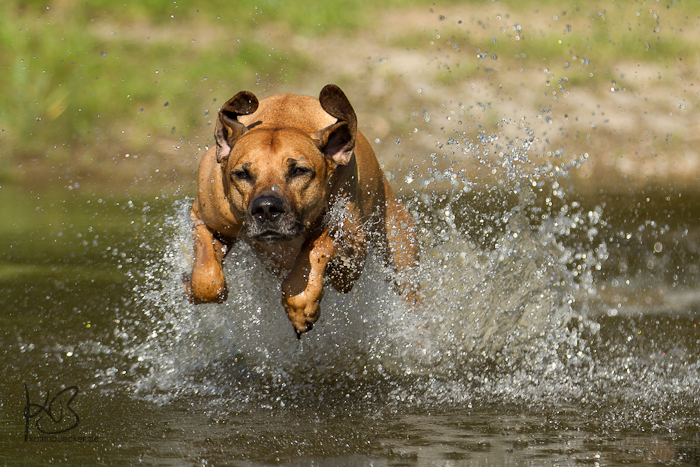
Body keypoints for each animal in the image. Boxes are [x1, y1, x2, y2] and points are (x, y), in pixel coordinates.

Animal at [183, 85, 418, 336]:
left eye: (299, 171)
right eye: (242, 174)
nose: (266, 208)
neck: (284, 118)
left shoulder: (353, 242)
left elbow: (317, 245)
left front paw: (302, 302)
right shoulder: (208, 218)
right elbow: (207, 279)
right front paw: (191, 283)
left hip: (400, 254)